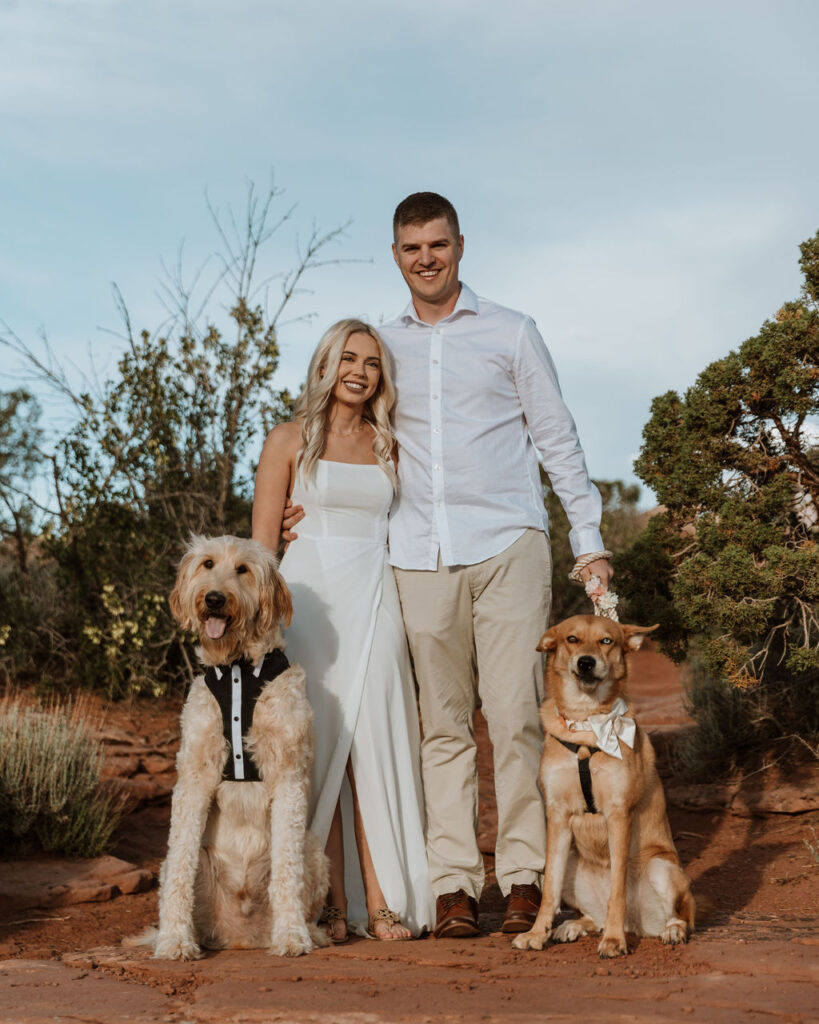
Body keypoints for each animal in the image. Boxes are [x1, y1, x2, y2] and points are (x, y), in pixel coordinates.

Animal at [148, 536, 327, 958]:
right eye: (208, 564)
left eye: (243, 570)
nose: (214, 598)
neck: (238, 668)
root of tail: (240, 936)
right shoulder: (194, 774)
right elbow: (180, 863)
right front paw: (175, 939)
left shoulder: (289, 774)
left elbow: (287, 870)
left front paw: (292, 935)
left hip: (314, 849)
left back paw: (309, 932)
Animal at [515, 614, 696, 958]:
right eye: (572, 639)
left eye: (607, 641)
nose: (586, 662)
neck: (586, 723)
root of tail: (638, 926)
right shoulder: (557, 816)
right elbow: (549, 893)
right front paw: (535, 934)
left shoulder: (618, 814)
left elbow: (617, 891)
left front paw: (613, 941)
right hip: (573, 860)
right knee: (590, 914)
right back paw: (573, 925)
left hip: (661, 867)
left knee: (682, 914)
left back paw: (669, 931)